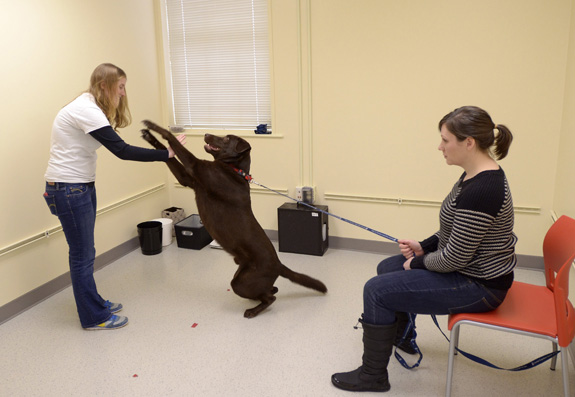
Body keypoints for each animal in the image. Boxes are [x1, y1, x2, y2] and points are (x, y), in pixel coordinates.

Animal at [141, 119, 328, 318]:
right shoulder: (187, 178)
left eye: (227, 138)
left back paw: (253, 311)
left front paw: (154, 126)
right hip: (243, 275)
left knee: (270, 299)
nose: (206, 133)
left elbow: (174, 142)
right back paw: (267, 293)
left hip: (242, 282)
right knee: (270, 290)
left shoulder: (197, 167)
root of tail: (279, 264)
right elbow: (168, 154)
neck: (233, 169)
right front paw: (149, 137)